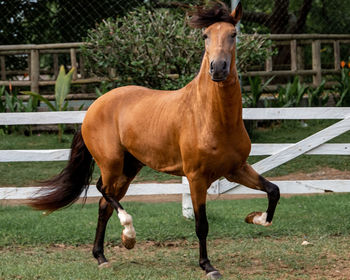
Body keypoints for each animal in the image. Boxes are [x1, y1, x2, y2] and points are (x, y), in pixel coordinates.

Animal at [31, 2, 280, 280]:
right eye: (205, 35)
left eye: (233, 34)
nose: (218, 68)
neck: (211, 117)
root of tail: (93, 107)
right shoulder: (196, 178)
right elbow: (201, 224)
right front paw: (208, 266)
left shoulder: (236, 169)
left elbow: (273, 190)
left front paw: (255, 218)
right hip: (112, 164)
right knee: (102, 190)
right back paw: (128, 235)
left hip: (129, 169)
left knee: (104, 204)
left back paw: (102, 257)